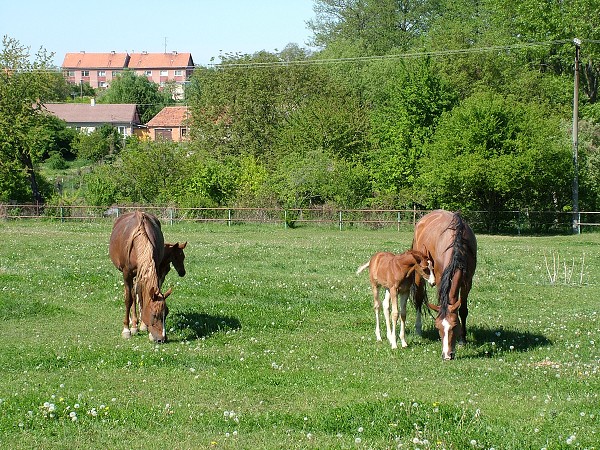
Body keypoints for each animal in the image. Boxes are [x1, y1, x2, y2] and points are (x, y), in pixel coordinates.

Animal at [109, 213, 172, 342]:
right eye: (154, 314)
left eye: (166, 313)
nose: (162, 338)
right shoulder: (127, 273)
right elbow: (129, 299)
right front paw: (126, 330)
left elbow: (142, 296)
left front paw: (144, 326)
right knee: (130, 294)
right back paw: (132, 325)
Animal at [410, 209, 476, 360]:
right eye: (438, 327)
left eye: (455, 326)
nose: (447, 355)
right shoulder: (440, 278)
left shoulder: (467, 282)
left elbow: (463, 310)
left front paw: (462, 340)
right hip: (419, 274)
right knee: (418, 299)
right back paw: (418, 329)